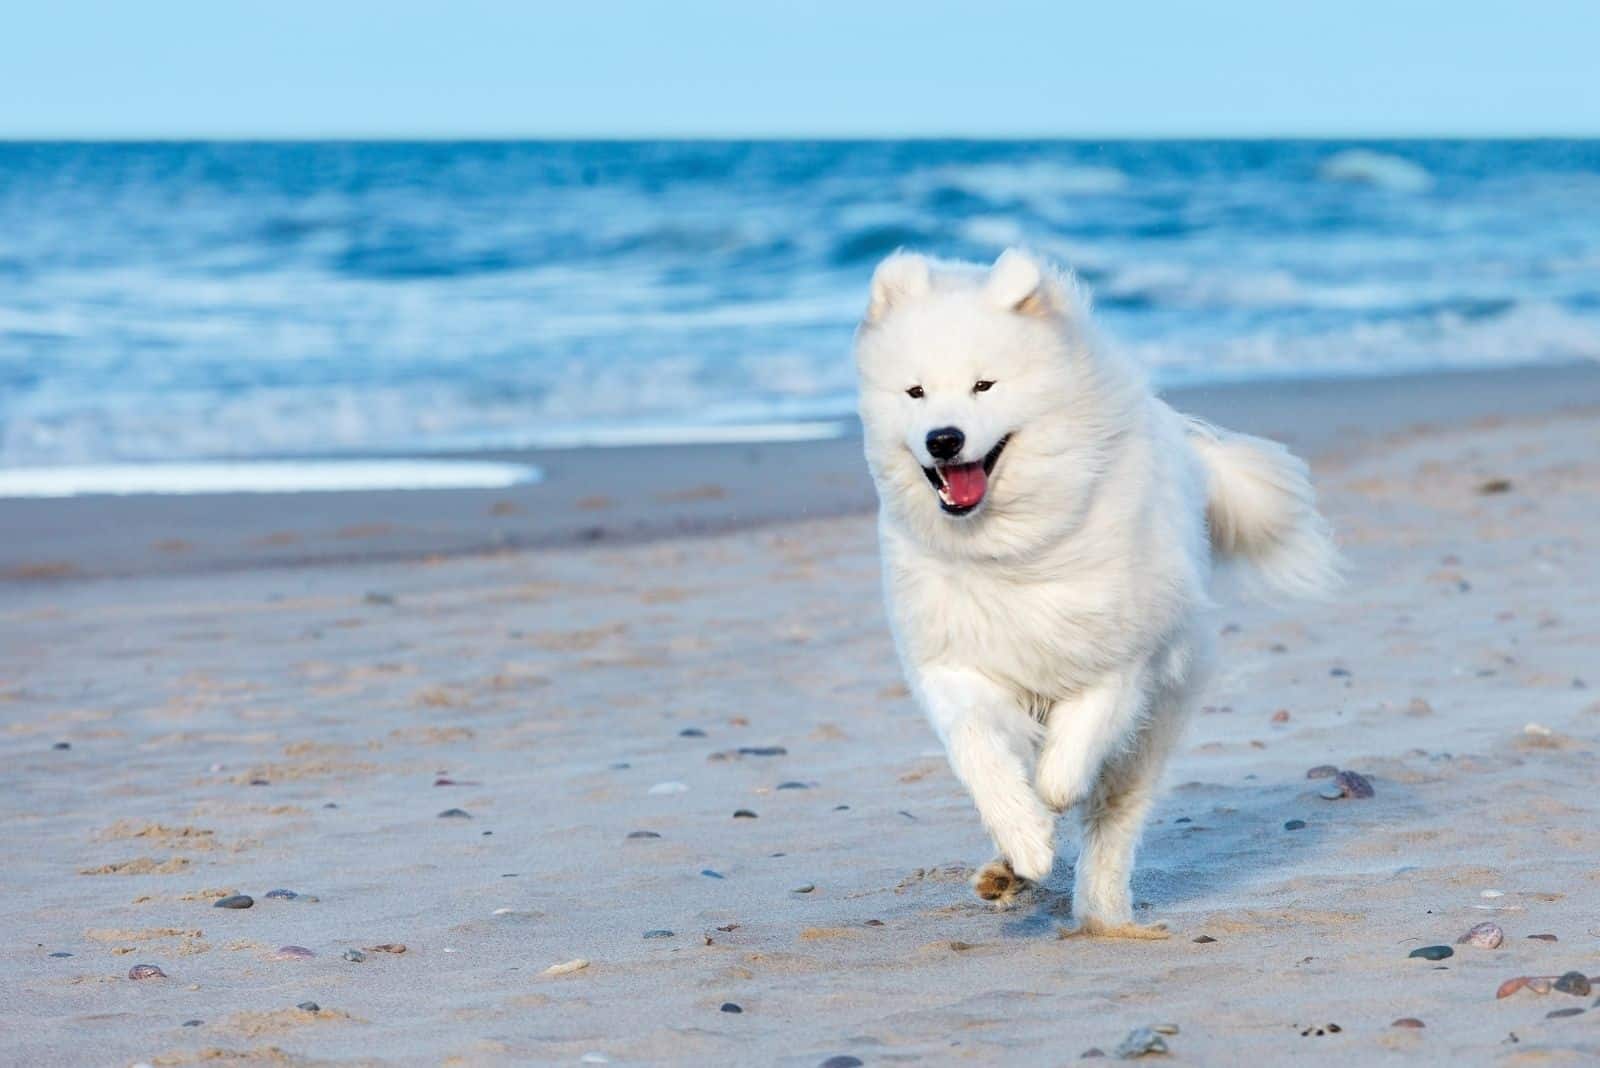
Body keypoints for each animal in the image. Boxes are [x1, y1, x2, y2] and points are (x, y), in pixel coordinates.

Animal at [851, 247, 1337, 933]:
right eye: (915, 392)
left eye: (984, 386)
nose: (942, 438)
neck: (1011, 552)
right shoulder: (954, 662)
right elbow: (982, 756)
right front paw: (1025, 840)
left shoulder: (1121, 659)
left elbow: (1071, 756)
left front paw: (1053, 794)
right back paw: (1006, 872)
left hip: (1155, 725)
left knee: (1114, 821)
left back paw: (1105, 918)